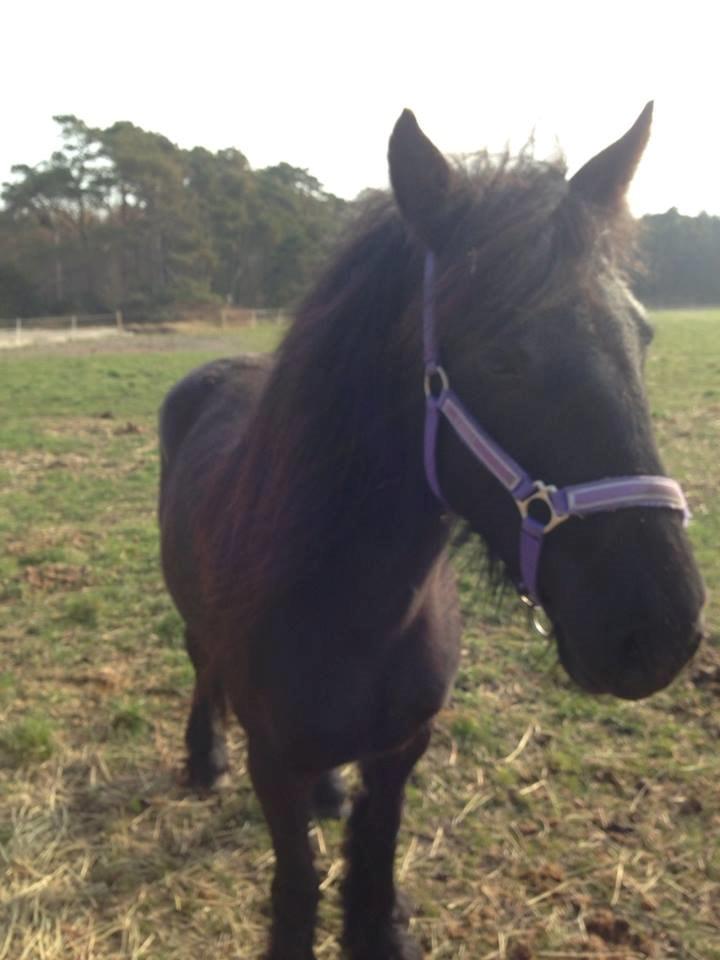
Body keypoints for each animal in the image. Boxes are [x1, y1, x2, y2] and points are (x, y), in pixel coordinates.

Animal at [158, 104, 705, 960]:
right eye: (501, 355)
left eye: (642, 337)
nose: (659, 632)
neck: (355, 611)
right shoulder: (270, 757)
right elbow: (297, 885)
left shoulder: (403, 745)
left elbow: (373, 870)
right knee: (201, 662)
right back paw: (204, 757)